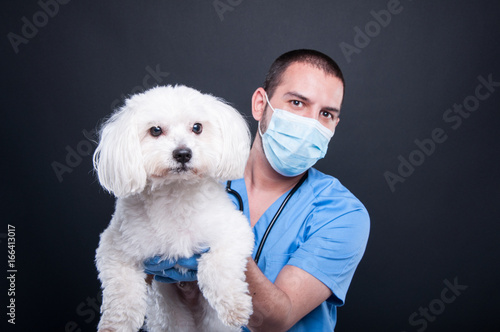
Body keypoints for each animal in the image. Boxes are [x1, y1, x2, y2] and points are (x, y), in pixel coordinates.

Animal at [93, 85, 254, 332]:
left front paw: (235, 306)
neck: (175, 193)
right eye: (155, 130)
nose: (183, 153)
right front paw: (115, 325)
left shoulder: (235, 233)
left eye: (197, 127)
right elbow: (122, 292)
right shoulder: (114, 249)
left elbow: (216, 266)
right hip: (169, 318)